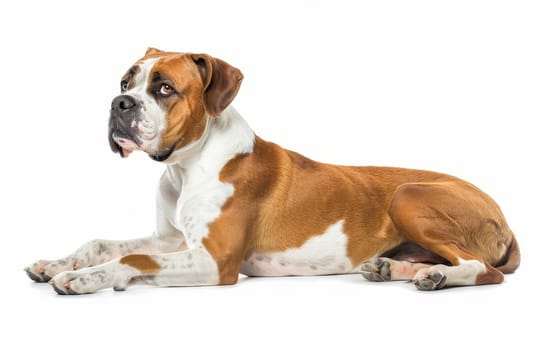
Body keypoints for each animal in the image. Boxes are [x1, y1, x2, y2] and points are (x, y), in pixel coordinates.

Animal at [23, 47, 520, 294]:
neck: (187, 166)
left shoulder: (214, 261)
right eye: (126, 82)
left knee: (483, 269)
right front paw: (57, 263)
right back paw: (392, 268)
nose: (119, 103)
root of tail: (505, 217)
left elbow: (131, 259)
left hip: (410, 195)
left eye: (164, 89)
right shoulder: (171, 241)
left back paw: (438, 278)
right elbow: (102, 243)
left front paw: (85, 278)